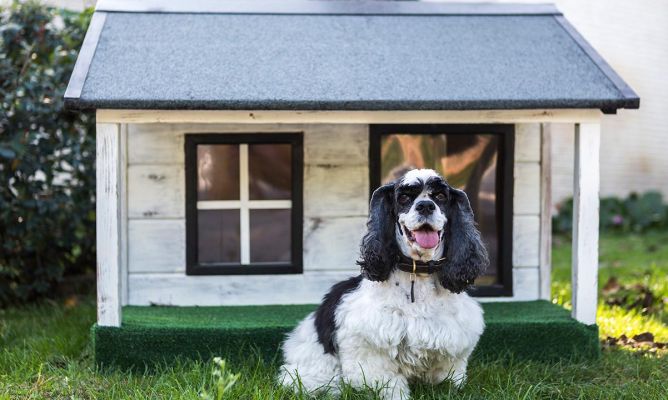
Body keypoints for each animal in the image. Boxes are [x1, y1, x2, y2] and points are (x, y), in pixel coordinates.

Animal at [280, 169, 488, 400]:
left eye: (441, 196)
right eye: (404, 197)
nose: (425, 206)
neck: (418, 273)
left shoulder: (453, 345)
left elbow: (448, 377)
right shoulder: (369, 346)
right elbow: (387, 382)